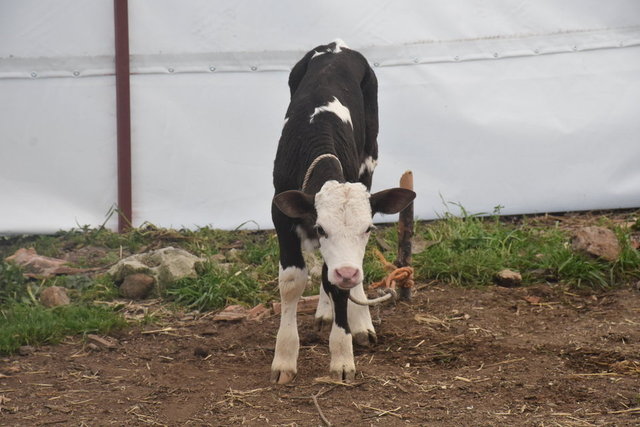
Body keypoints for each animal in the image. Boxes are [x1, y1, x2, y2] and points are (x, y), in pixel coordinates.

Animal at [271, 40, 416, 384]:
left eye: (368, 229)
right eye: (321, 228)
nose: (347, 272)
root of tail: (336, 46)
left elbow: (335, 284)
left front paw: (342, 357)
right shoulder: (280, 214)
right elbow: (293, 281)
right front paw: (284, 359)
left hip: (369, 158)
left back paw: (360, 321)